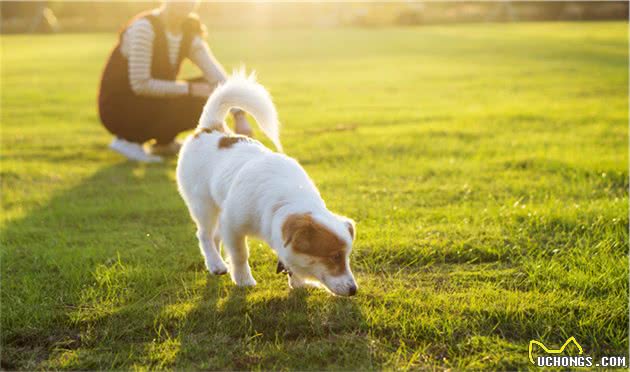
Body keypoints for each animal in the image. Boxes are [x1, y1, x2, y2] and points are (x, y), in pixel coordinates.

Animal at [177, 72, 360, 296]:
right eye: (334, 256)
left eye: (347, 256)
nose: (354, 290)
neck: (285, 200)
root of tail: (211, 128)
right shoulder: (233, 225)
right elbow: (240, 254)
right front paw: (243, 279)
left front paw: (298, 282)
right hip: (203, 205)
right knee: (204, 234)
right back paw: (215, 264)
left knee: (215, 236)